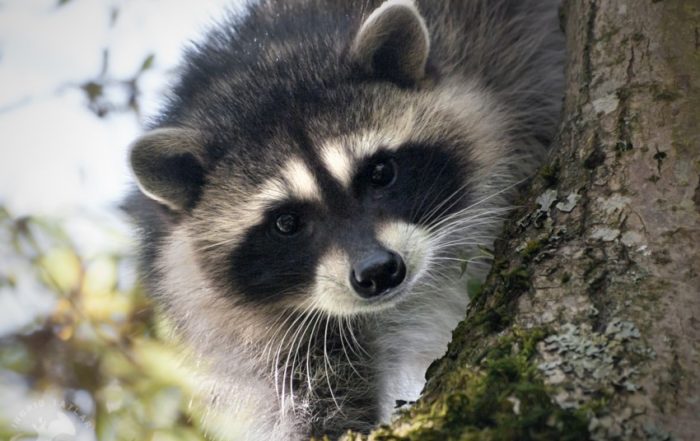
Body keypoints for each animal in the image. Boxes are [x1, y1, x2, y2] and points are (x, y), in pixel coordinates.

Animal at [124, 0, 564, 436]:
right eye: (286, 223)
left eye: (380, 173)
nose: (379, 271)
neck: (270, 58)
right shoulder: (241, 319)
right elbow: (307, 387)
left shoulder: (497, 50)